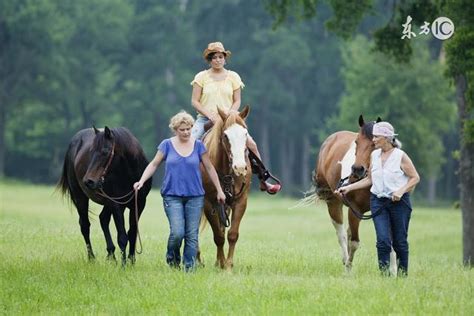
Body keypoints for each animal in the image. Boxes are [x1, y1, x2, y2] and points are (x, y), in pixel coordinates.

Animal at [57, 127, 152, 266]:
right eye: (91, 151)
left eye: (105, 151)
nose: (88, 181)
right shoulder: (117, 205)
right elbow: (122, 236)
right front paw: (124, 265)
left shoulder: (139, 204)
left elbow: (132, 232)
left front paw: (131, 261)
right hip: (80, 197)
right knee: (85, 225)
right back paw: (92, 258)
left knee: (103, 219)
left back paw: (111, 254)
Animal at [199, 105, 252, 270]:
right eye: (225, 135)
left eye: (245, 133)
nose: (240, 167)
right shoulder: (208, 202)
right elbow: (218, 236)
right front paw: (223, 264)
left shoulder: (240, 201)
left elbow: (232, 234)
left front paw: (228, 265)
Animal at [314, 115, 396, 272]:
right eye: (357, 141)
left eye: (374, 143)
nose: (357, 169)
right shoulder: (355, 210)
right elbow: (354, 243)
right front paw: (348, 270)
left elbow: (392, 243)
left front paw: (395, 272)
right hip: (333, 203)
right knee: (341, 235)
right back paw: (345, 260)